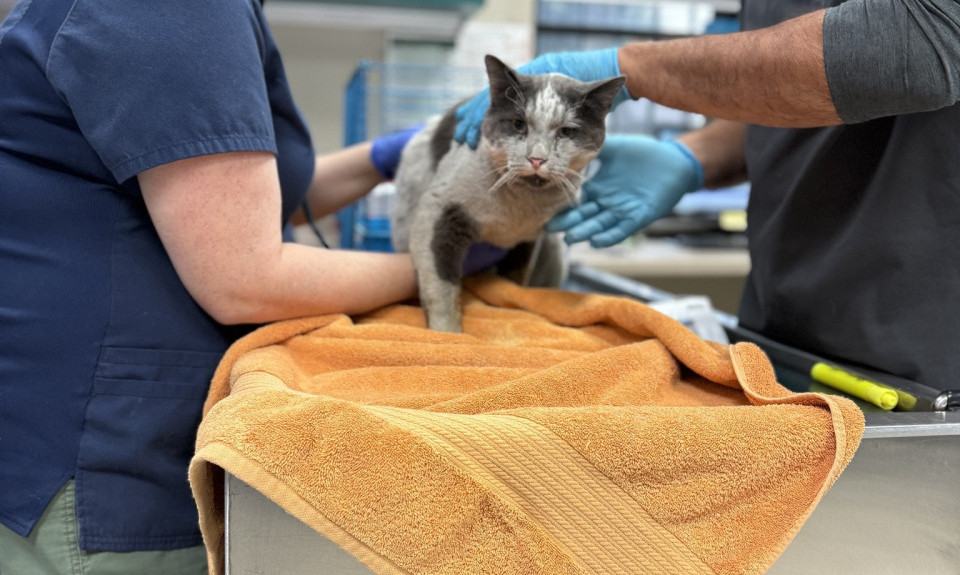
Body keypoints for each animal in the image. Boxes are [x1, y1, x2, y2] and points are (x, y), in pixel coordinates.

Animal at [390, 55, 624, 332]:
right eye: (518, 124)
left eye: (567, 131)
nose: (537, 159)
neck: (516, 214)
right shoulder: (438, 212)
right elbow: (441, 286)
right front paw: (448, 334)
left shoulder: (526, 241)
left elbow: (512, 283)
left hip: (552, 249)